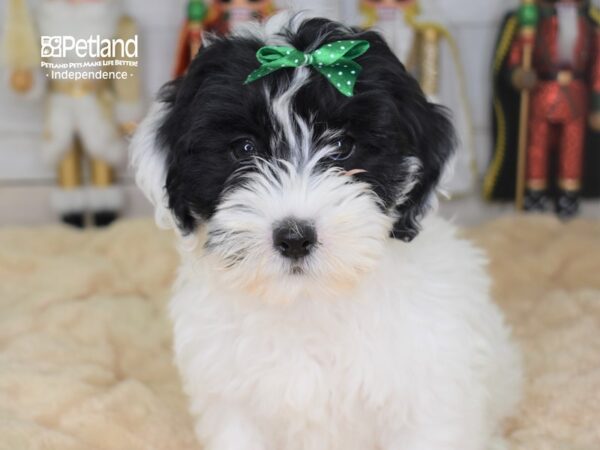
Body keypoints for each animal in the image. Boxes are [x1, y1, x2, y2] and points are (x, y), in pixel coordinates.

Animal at [131, 14, 520, 450]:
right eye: (245, 149)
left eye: (343, 146)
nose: (295, 237)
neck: (309, 300)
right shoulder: (232, 400)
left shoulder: (425, 394)